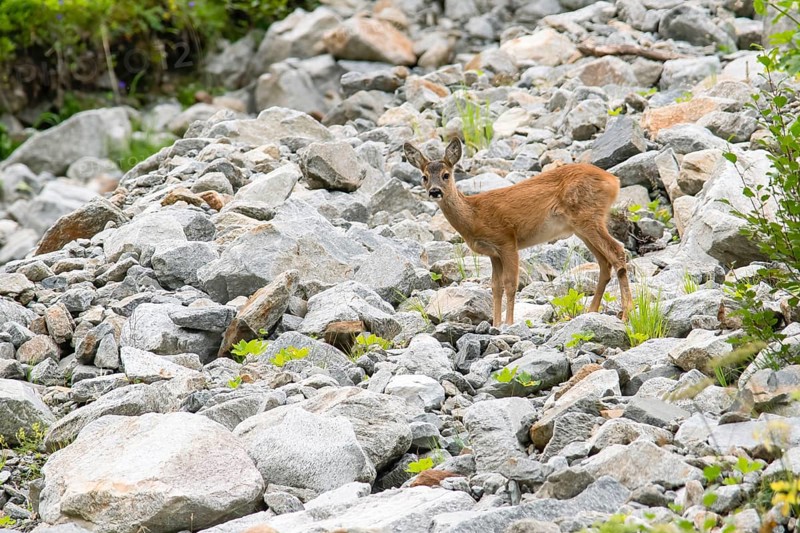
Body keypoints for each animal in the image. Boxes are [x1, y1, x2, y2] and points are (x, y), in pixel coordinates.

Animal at [404, 139, 633, 327]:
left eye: (446, 175)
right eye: (424, 177)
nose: (435, 191)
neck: (474, 215)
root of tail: (614, 181)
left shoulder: (507, 240)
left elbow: (510, 284)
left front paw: (509, 323)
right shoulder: (493, 253)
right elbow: (495, 287)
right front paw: (496, 324)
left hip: (588, 217)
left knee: (618, 252)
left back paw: (626, 314)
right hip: (582, 227)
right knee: (604, 263)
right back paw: (591, 312)